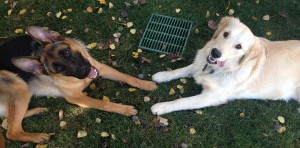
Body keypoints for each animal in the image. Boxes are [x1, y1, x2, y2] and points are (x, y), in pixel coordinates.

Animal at [0, 26, 157, 145]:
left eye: (66, 52)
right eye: (58, 68)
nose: (85, 72)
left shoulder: (100, 68)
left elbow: (127, 77)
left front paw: (147, 84)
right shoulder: (77, 98)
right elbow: (103, 104)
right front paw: (125, 109)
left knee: (9, 118)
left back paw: (38, 111)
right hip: (20, 85)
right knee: (12, 131)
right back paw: (38, 137)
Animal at [151, 16, 300, 115]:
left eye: (239, 46)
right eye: (226, 33)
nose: (215, 52)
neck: (219, 69)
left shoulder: (211, 96)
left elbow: (182, 101)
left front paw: (161, 107)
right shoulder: (200, 64)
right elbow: (180, 70)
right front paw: (162, 75)